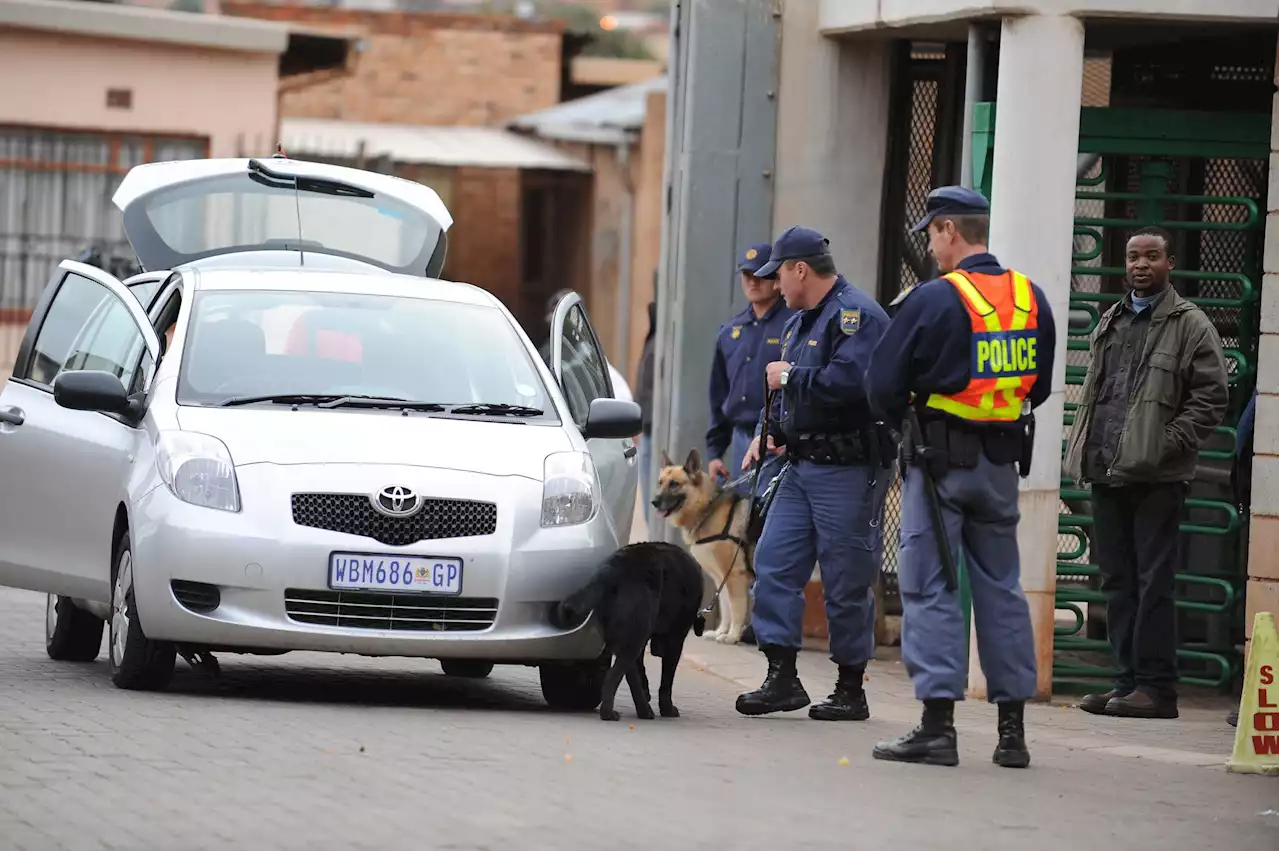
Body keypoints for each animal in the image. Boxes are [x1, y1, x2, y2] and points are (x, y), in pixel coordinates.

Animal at [555, 545, 706, 716]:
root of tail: (612, 568)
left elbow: (641, 670)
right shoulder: (675, 639)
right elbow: (667, 680)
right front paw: (667, 708)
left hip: (626, 637)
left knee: (630, 674)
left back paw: (643, 710)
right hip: (635, 638)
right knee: (613, 676)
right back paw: (611, 713)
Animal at [650, 447, 757, 639]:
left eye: (674, 484)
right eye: (660, 482)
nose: (654, 502)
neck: (707, 506)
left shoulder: (734, 576)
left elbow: (736, 609)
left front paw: (732, 636)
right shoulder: (721, 578)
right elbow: (726, 606)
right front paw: (721, 631)